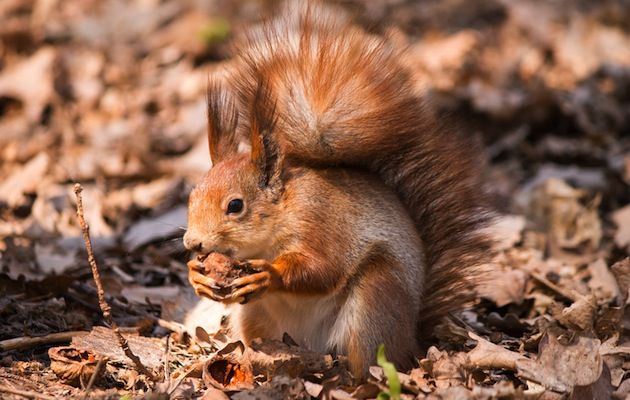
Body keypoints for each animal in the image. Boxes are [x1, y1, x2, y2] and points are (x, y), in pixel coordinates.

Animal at [183, 1, 494, 378]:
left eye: (235, 206)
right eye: (190, 198)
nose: (192, 243)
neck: (281, 213)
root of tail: (412, 341)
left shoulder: (322, 221)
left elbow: (323, 268)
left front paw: (270, 274)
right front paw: (196, 276)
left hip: (374, 302)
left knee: (371, 359)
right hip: (255, 318)